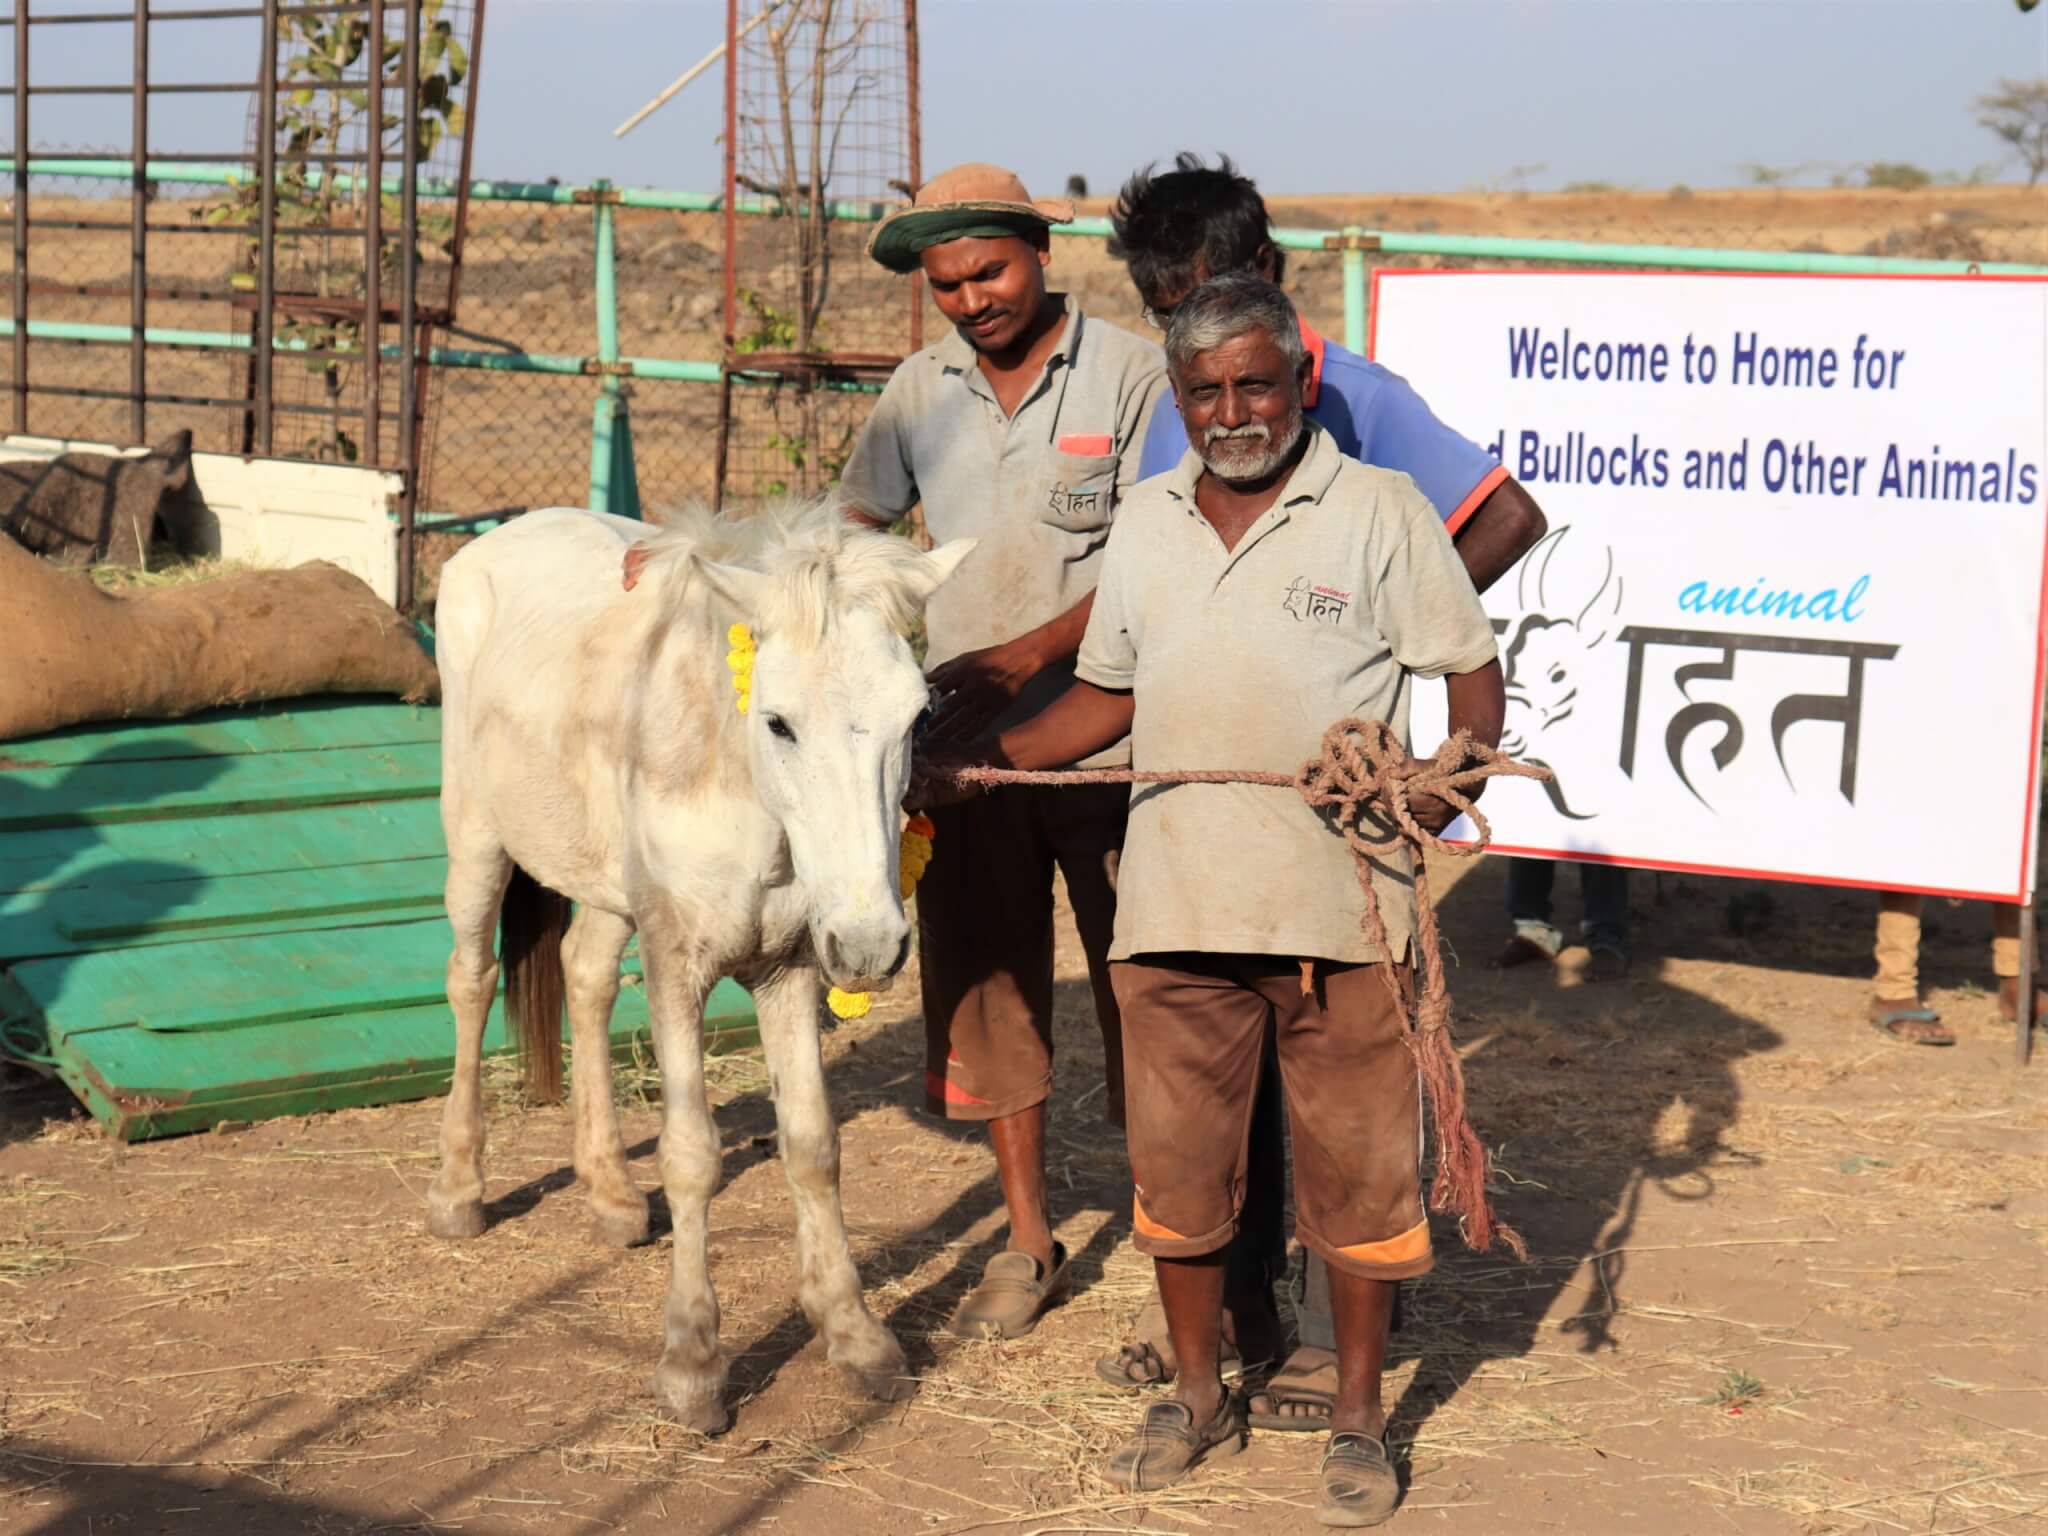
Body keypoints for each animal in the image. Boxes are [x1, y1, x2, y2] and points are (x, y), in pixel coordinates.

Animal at [423, 499, 974, 1441]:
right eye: (779, 721)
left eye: (918, 718)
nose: (871, 944)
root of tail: (495, 540)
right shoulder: (677, 963)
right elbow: (691, 1155)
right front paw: (692, 1367)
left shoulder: (790, 971)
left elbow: (812, 1146)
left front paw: (855, 1337)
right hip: (478, 840)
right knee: (470, 980)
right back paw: (462, 1190)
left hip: (608, 887)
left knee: (583, 977)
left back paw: (611, 1193)